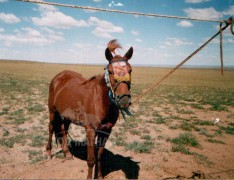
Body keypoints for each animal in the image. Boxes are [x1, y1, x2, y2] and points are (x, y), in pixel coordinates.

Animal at [46, 39, 133, 179]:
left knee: (64, 128)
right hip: (52, 111)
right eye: (110, 71)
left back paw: (67, 153)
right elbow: (91, 159)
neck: (101, 101)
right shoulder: (91, 131)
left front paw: (100, 176)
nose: (123, 100)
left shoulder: (106, 131)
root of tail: (58, 77)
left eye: (130, 70)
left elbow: (99, 155)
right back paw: (48, 152)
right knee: (51, 127)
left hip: (68, 116)